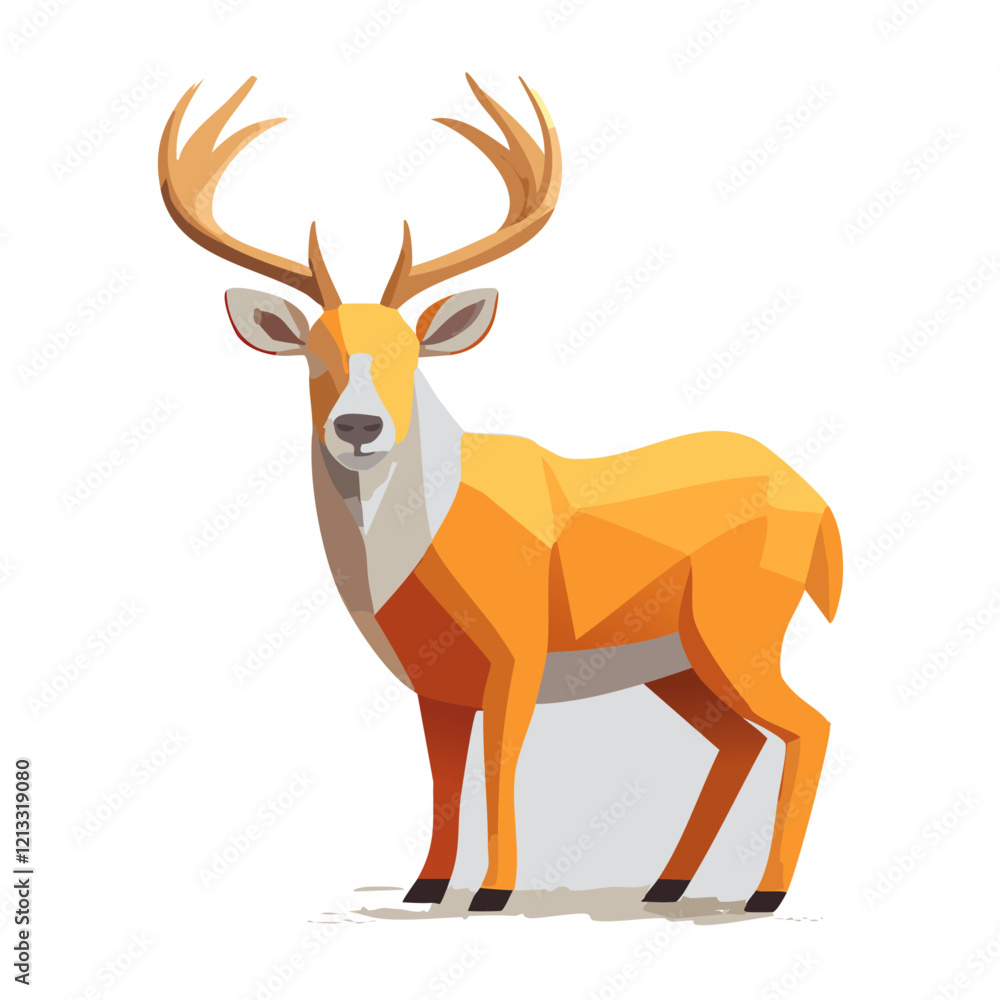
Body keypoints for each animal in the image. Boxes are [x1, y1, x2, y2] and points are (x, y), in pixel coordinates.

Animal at [159, 75, 842, 915]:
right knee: (742, 739)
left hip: (737, 626)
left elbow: (500, 760)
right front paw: (426, 885)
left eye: (408, 352)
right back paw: (668, 883)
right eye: (316, 355)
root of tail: (819, 505)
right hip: (679, 661)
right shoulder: (434, 681)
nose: (358, 425)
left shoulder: (518, 644)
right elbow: (443, 776)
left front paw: (493, 891)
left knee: (809, 724)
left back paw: (763, 896)